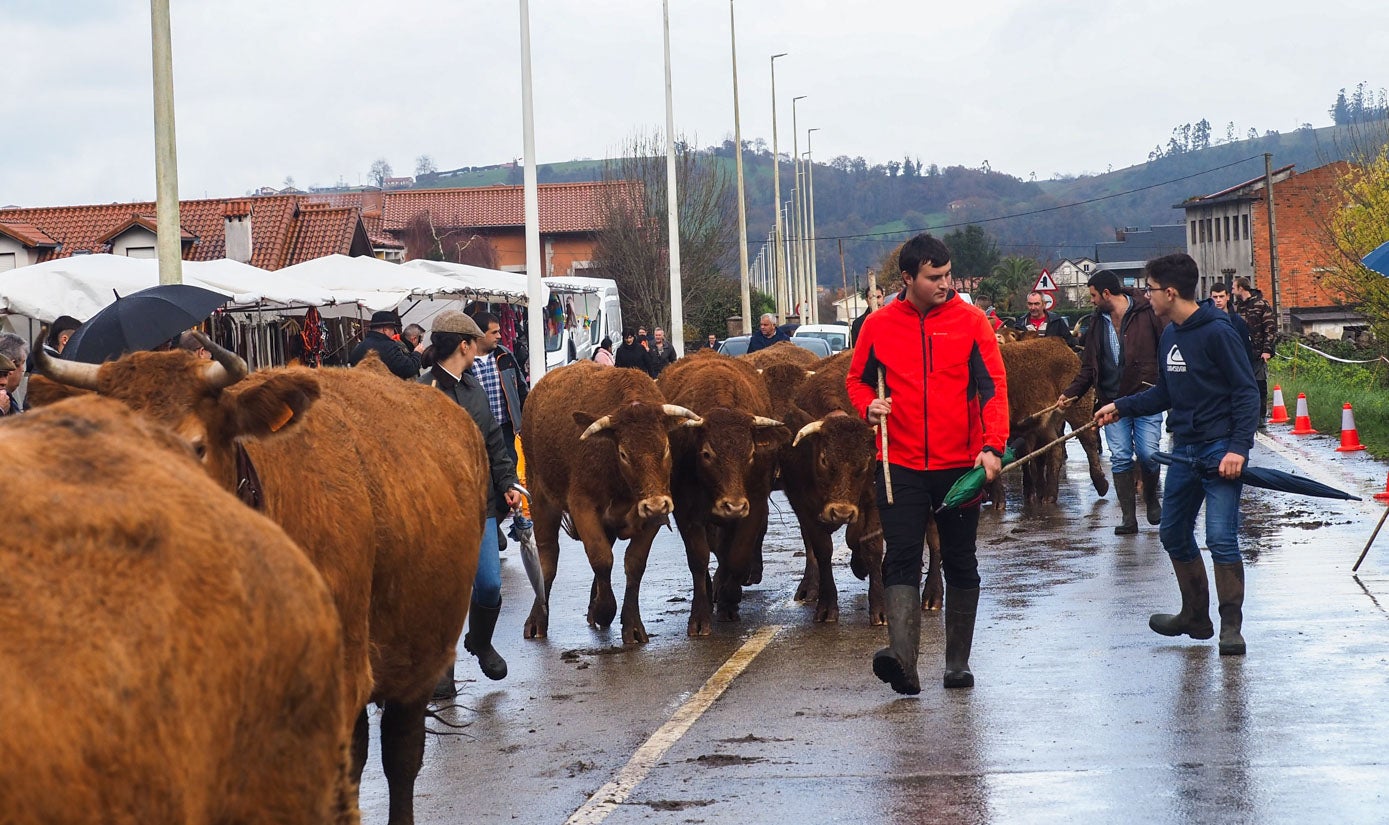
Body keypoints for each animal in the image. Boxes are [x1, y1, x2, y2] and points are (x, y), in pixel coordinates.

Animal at [519, 361, 700, 641]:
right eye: (623, 453)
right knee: (548, 558)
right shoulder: (582, 506)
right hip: (540, 496)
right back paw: (537, 620)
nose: (656, 504)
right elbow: (601, 558)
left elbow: (634, 563)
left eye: (666, 447)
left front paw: (631, 624)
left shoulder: (653, 515)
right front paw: (605, 610)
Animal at [658, 351, 788, 630]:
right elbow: (699, 558)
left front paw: (729, 601)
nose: (733, 505)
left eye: (751, 453)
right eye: (706, 453)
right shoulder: (686, 511)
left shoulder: (754, 505)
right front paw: (699, 615)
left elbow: (737, 554)